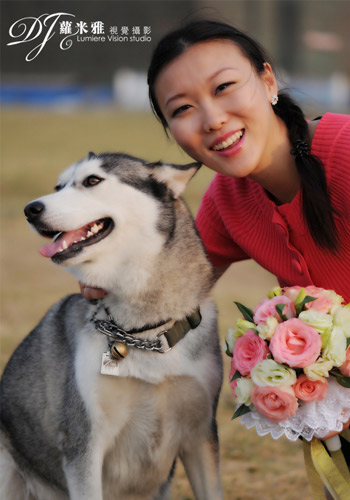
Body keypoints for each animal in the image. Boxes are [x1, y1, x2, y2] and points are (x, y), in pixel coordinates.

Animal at [0, 153, 221, 500]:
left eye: (92, 180)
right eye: (59, 186)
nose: (30, 209)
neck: (143, 331)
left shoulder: (201, 434)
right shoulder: (84, 444)